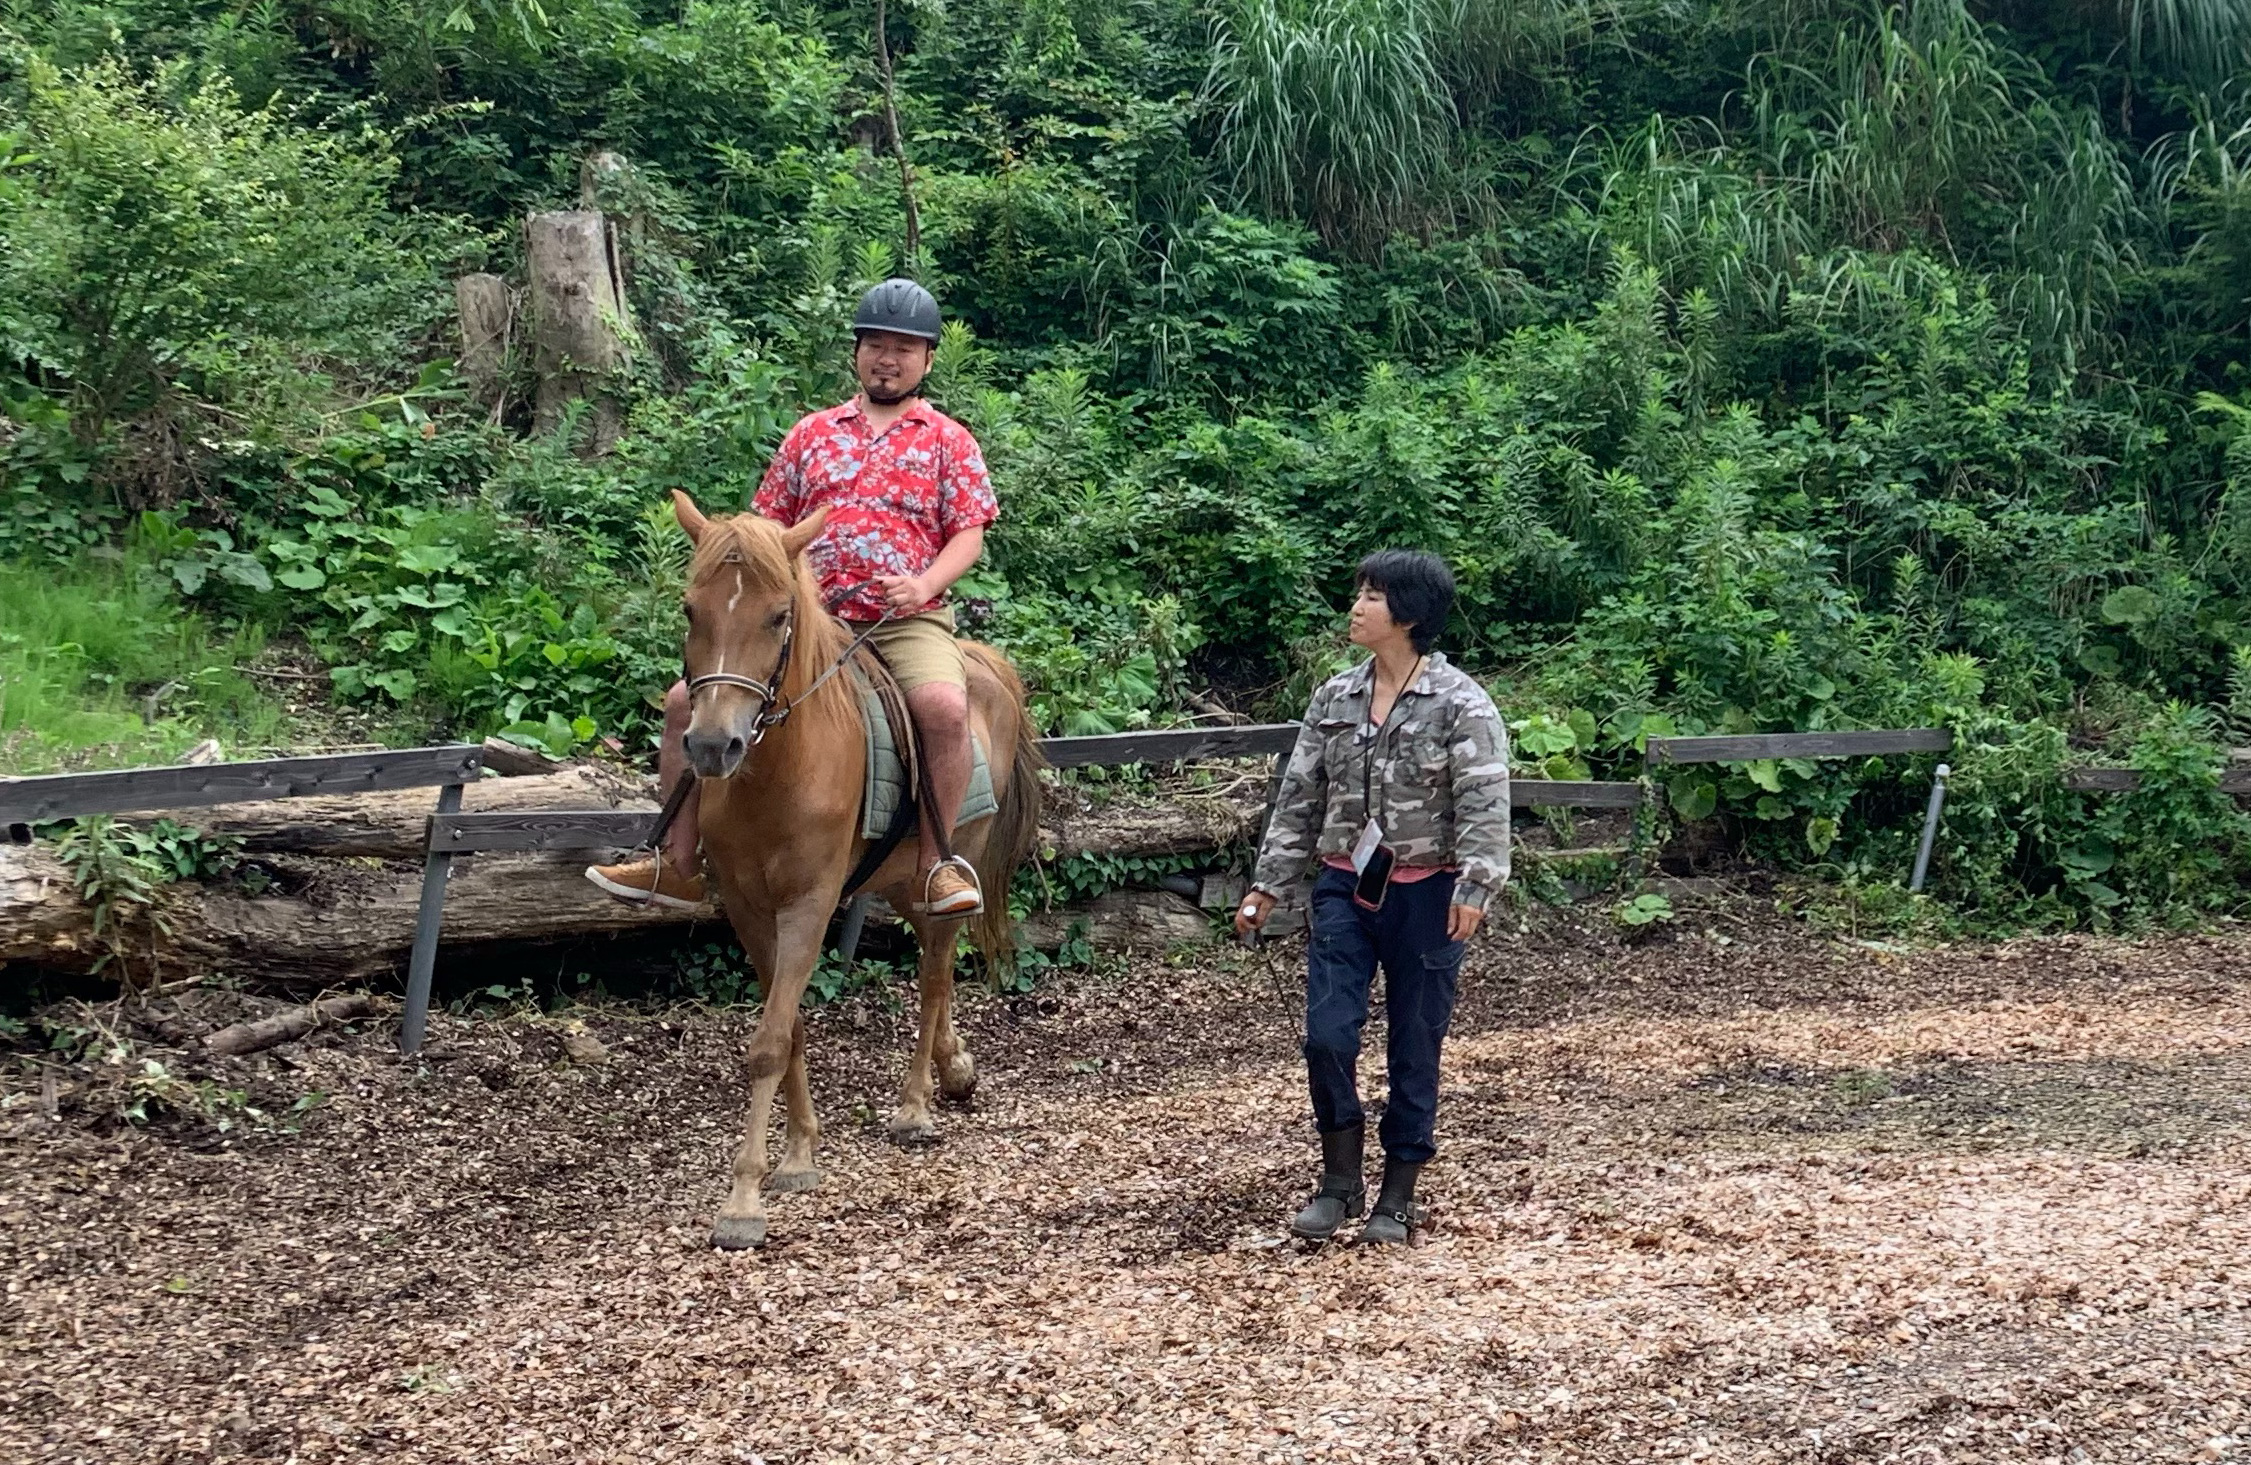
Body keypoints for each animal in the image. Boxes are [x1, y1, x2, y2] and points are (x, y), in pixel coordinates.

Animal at [668, 491, 1044, 1250]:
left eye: (778, 614)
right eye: (691, 610)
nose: (713, 745)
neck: (776, 774)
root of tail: (982, 665)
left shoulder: (808, 905)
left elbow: (769, 1040)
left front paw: (744, 1199)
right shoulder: (750, 911)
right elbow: (788, 1029)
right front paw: (798, 1155)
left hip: (943, 877)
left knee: (932, 981)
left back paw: (915, 1107)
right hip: (898, 884)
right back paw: (954, 1069)